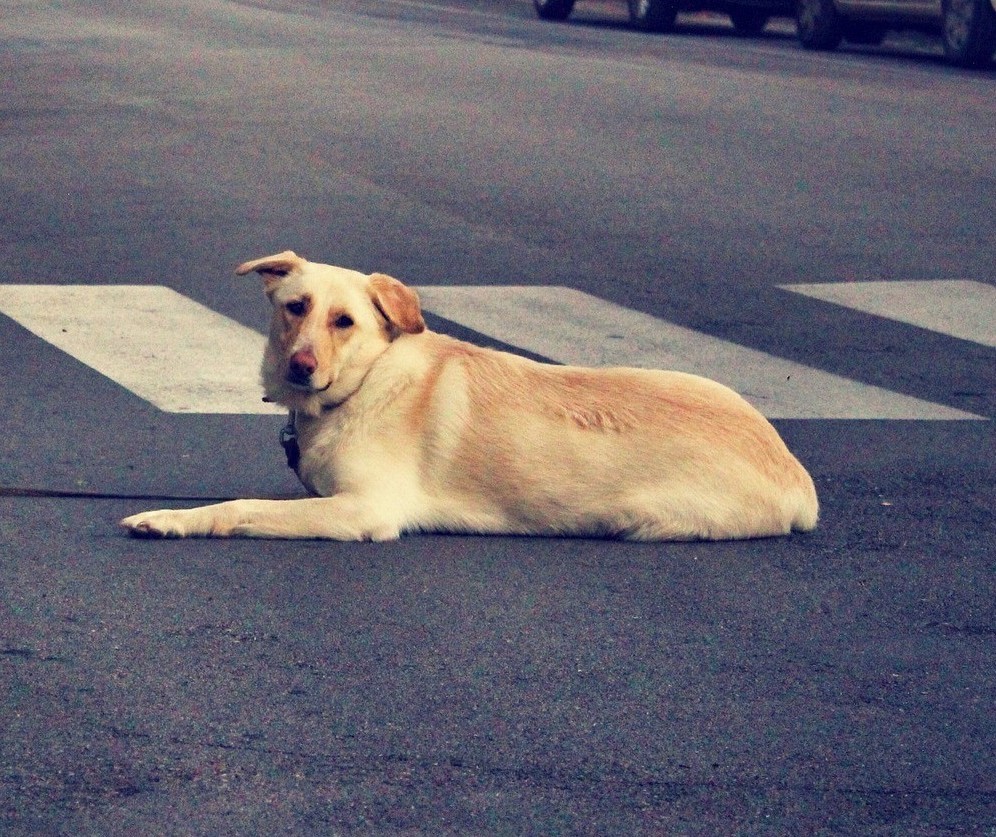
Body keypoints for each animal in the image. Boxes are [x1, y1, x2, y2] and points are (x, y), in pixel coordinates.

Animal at [118, 251, 816, 544]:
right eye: (296, 308)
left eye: (344, 321)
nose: (301, 367)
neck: (368, 382)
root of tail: (795, 472)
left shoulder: (362, 511)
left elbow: (240, 507)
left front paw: (171, 520)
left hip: (654, 517)